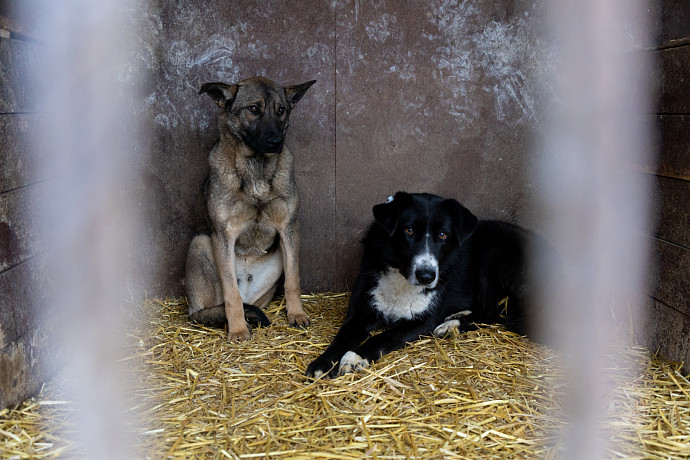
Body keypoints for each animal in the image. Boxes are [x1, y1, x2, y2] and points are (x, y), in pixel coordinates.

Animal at [183, 76, 312, 342]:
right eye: (254, 109)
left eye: (281, 110)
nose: (276, 142)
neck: (257, 168)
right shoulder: (223, 235)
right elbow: (231, 294)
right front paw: (238, 329)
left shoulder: (289, 229)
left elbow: (293, 280)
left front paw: (296, 314)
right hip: (201, 243)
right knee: (211, 308)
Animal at [304, 190, 544, 378]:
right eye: (408, 230)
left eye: (443, 235)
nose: (426, 276)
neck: (402, 279)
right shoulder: (361, 311)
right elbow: (342, 337)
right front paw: (323, 362)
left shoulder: (422, 321)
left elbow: (384, 337)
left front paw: (354, 357)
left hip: (492, 251)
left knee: (491, 312)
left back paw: (452, 325)